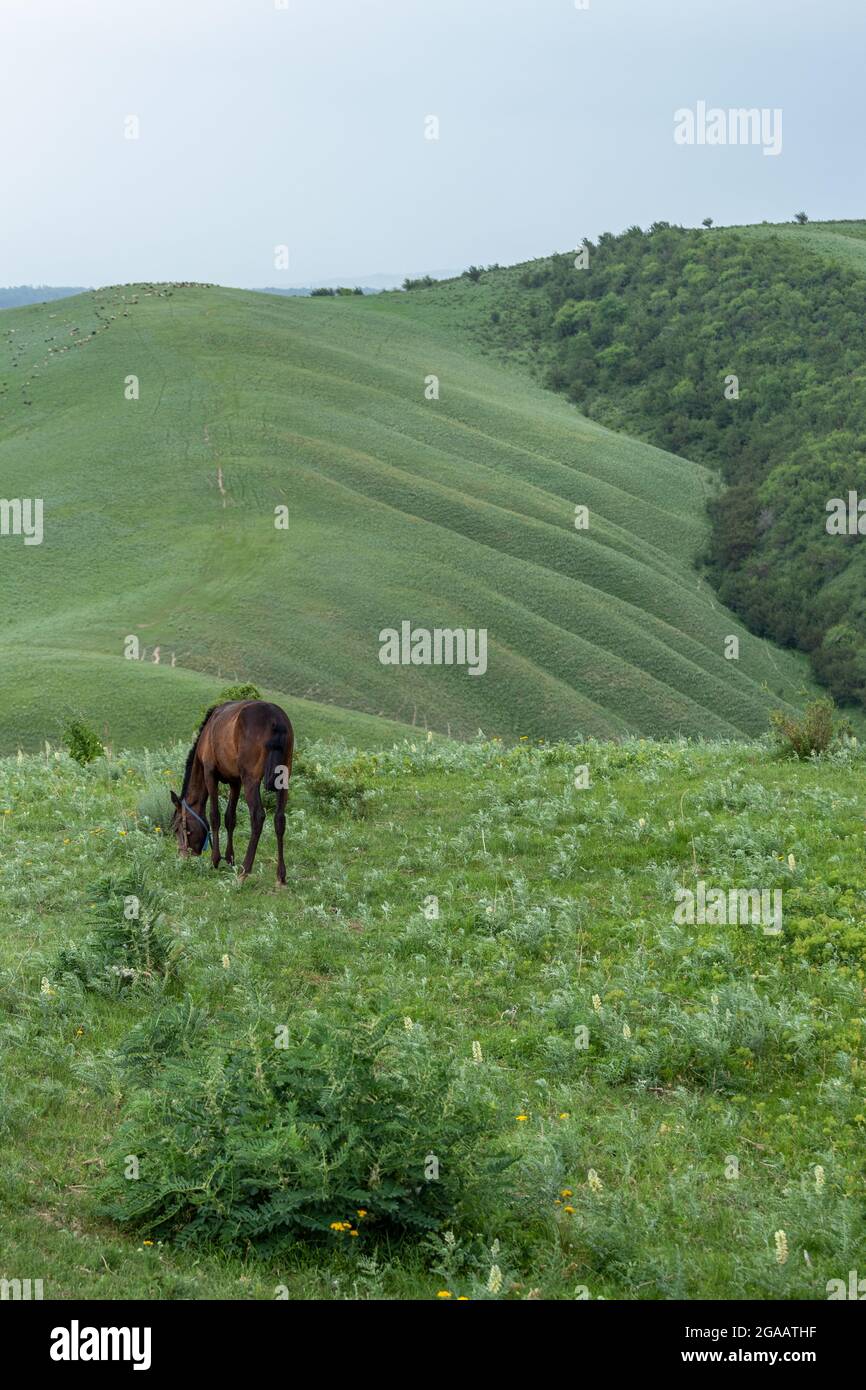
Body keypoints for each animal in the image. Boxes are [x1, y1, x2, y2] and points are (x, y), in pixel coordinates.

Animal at [170, 700, 296, 884]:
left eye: (178, 828)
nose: (182, 857)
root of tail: (275, 719)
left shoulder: (210, 774)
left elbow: (214, 816)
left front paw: (215, 859)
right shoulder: (235, 782)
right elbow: (230, 818)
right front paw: (230, 858)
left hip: (251, 780)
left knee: (257, 817)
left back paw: (244, 870)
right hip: (283, 779)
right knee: (279, 819)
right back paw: (281, 875)